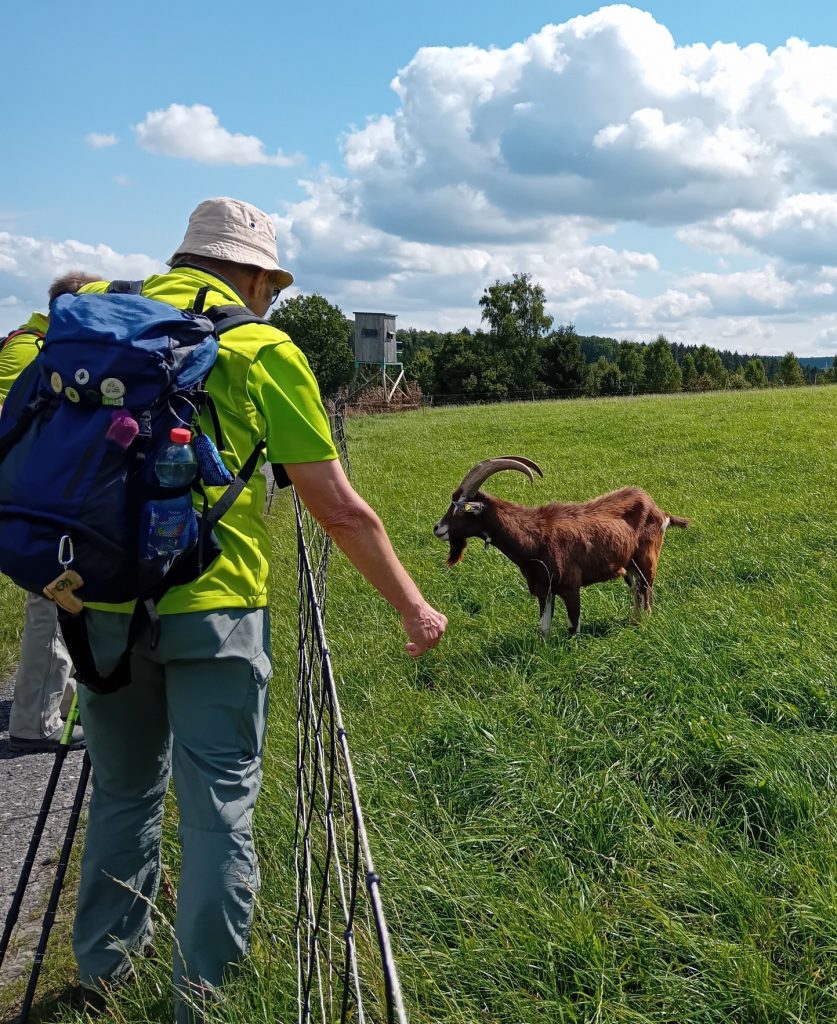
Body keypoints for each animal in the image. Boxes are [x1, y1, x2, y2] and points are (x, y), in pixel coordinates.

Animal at [430, 456, 684, 630]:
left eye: (460, 509)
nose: (437, 528)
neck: (534, 537)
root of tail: (659, 510)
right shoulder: (544, 588)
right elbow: (544, 628)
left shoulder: (570, 586)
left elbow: (574, 625)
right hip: (628, 565)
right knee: (636, 590)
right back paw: (633, 621)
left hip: (646, 560)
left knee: (646, 592)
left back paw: (643, 623)